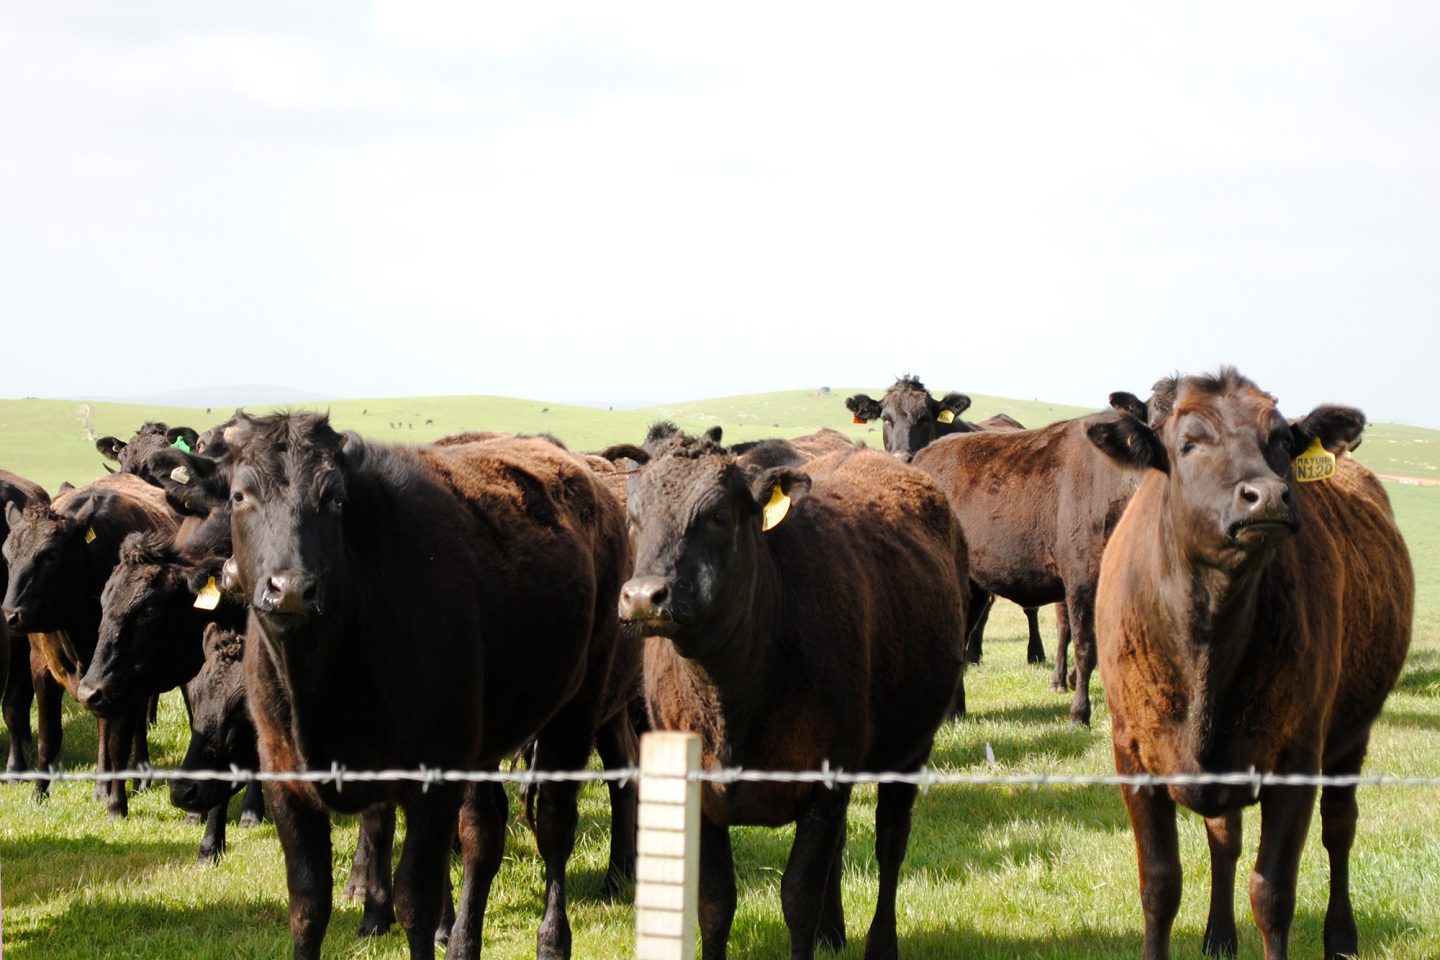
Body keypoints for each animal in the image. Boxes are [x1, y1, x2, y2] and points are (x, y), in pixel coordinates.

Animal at [622, 434, 967, 960]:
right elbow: (715, 903)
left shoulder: (824, 783)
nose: (644, 596)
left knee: (890, 843)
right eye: (633, 515)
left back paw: (879, 943)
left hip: (909, 750)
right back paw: (833, 931)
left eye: (717, 515)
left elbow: (798, 896)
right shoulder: (699, 789)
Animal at [1088, 371, 1405, 960]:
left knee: (1340, 828)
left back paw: (1341, 935)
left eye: (1281, 440)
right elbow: (1160, 884)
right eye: (1188, 442)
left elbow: (1273, 893)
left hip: (1352, 736)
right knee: (1225, 837)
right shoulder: (1132, 752)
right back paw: (1219, 934)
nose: (1268, 496)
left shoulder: (1298, 756)